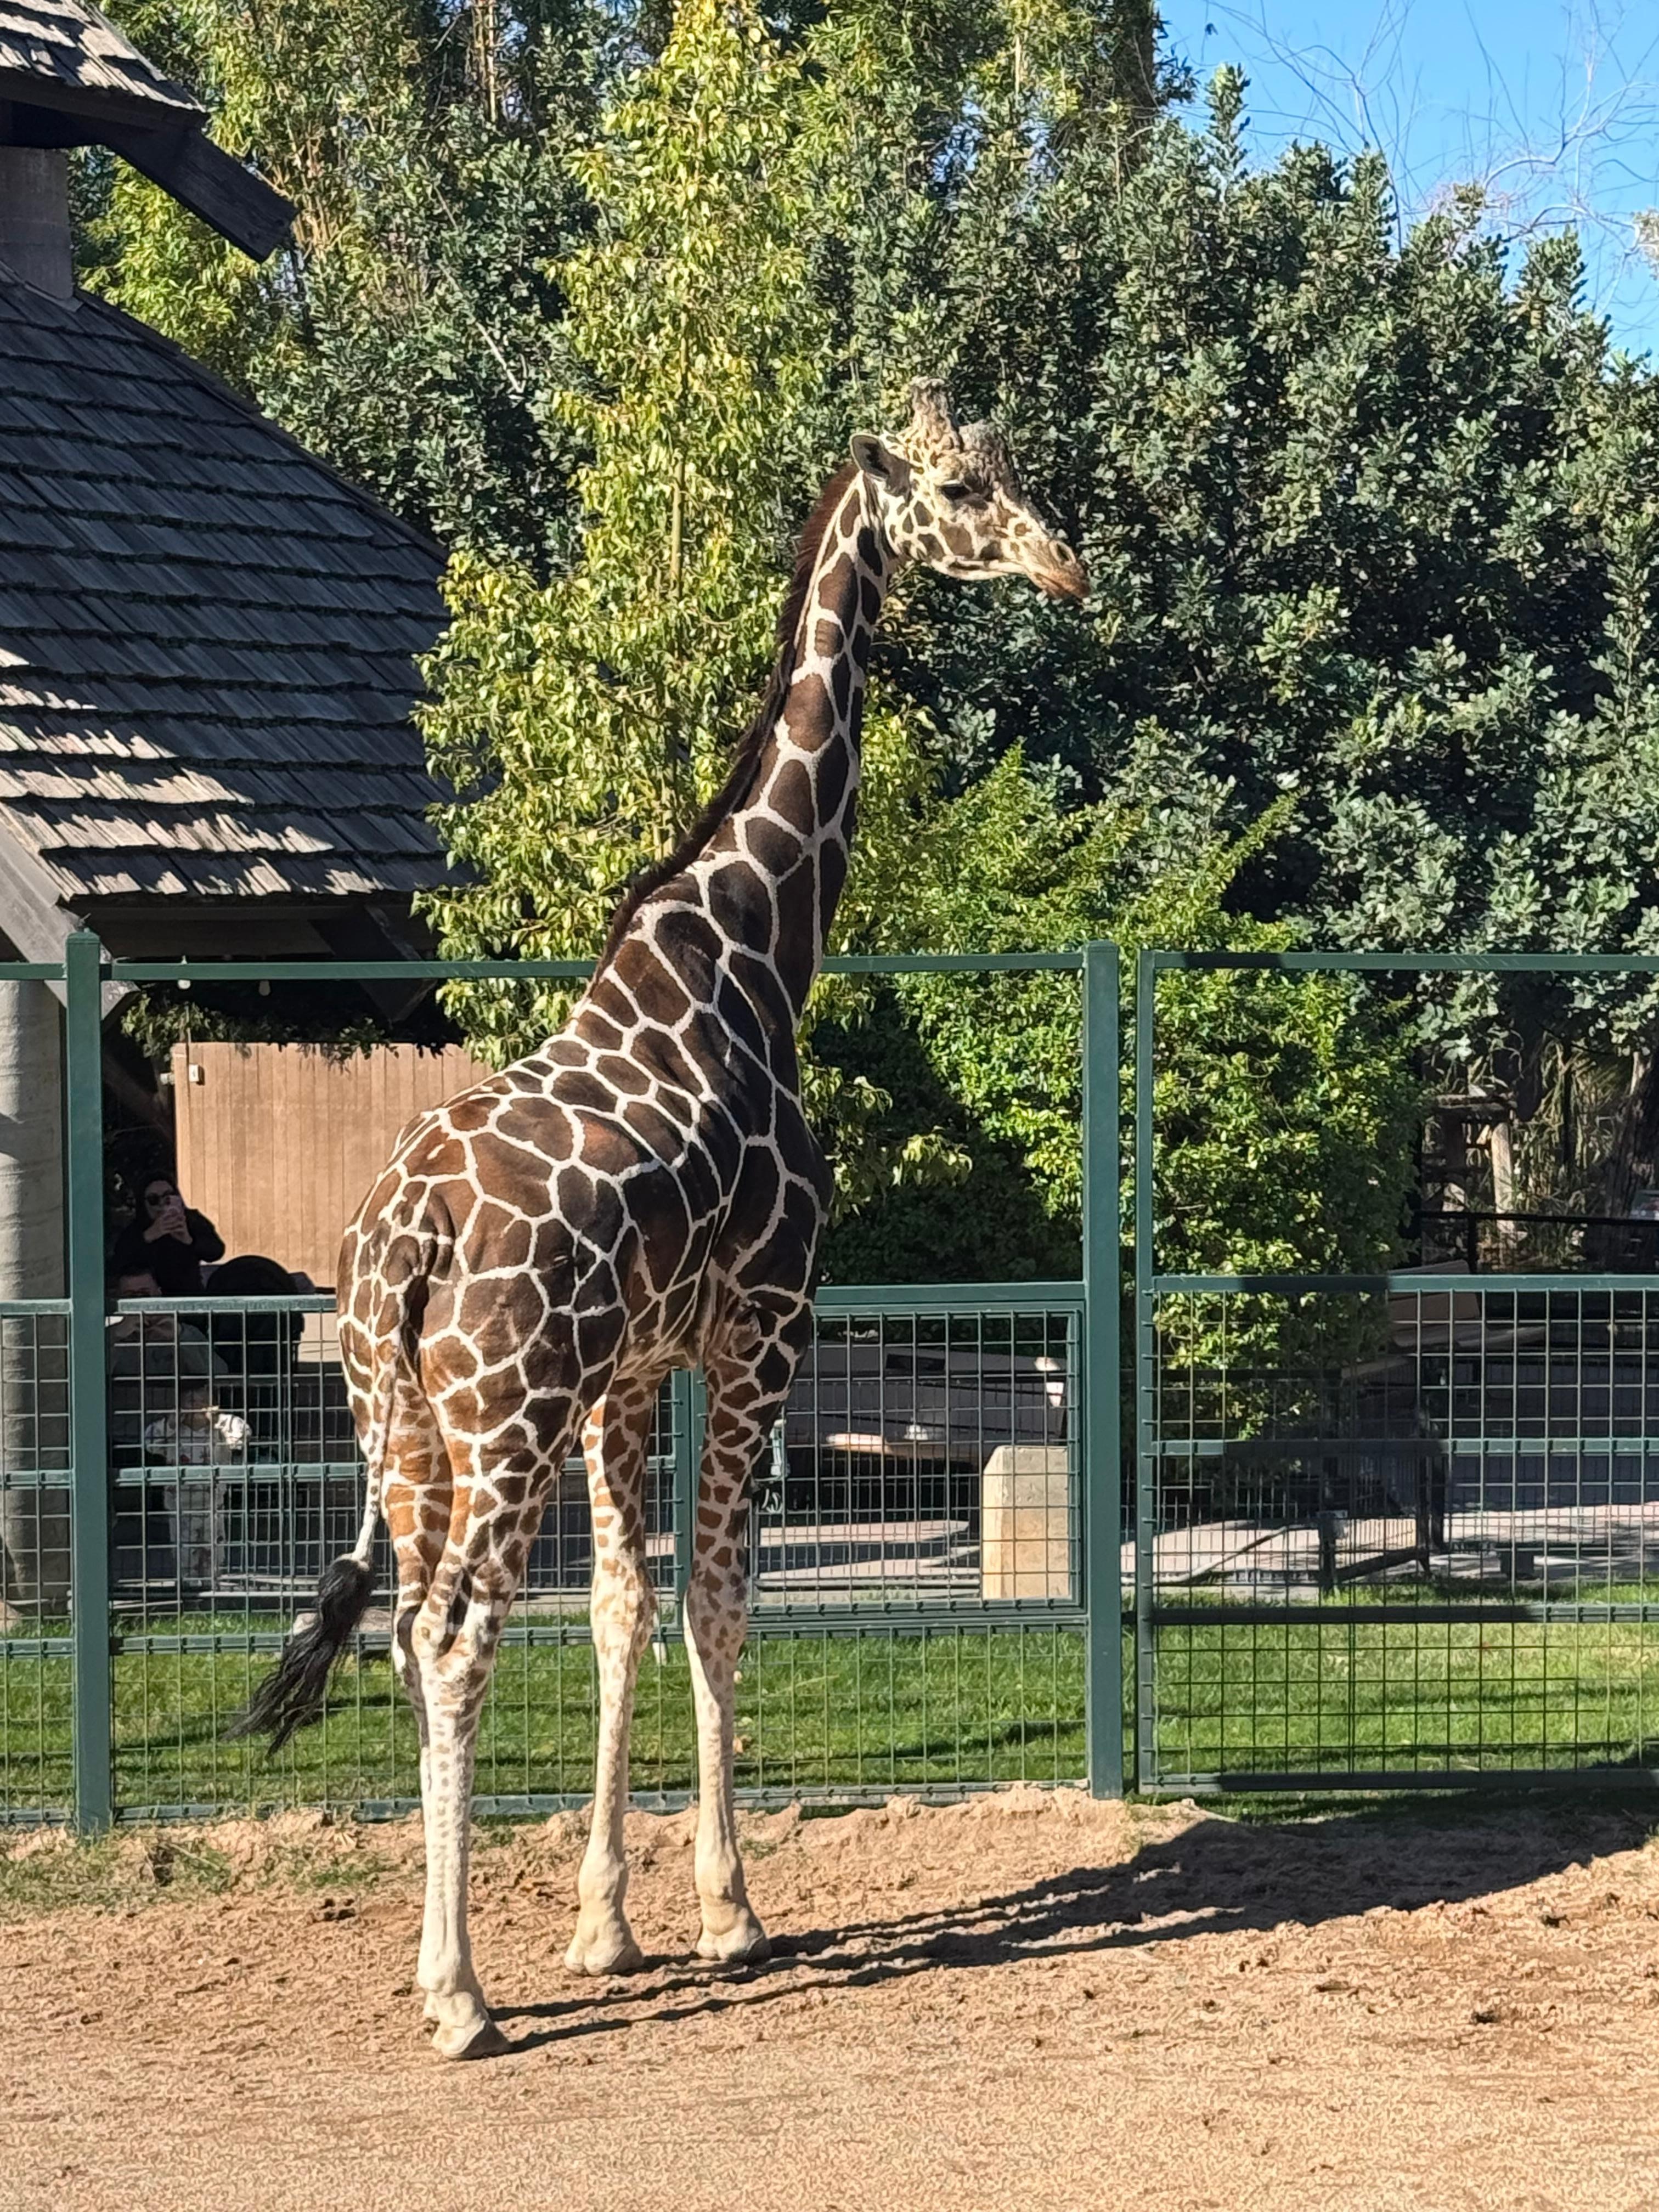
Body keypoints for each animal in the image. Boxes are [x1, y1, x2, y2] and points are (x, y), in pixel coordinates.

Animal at [234, 378, 1087, 2059]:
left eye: (1018, 472)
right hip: (506, 1420)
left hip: (401, 1424)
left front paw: (604, 1925)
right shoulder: (761, 1333)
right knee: (454, 1635)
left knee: (406, 1632)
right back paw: (459, 2000)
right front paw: (728, 1912)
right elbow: (720, 1602)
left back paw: (442, 1963)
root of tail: (400, 1248)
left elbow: (623, 1611)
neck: (759, 950)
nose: (1067, 568)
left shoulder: (632, 1377)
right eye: (964, 487)